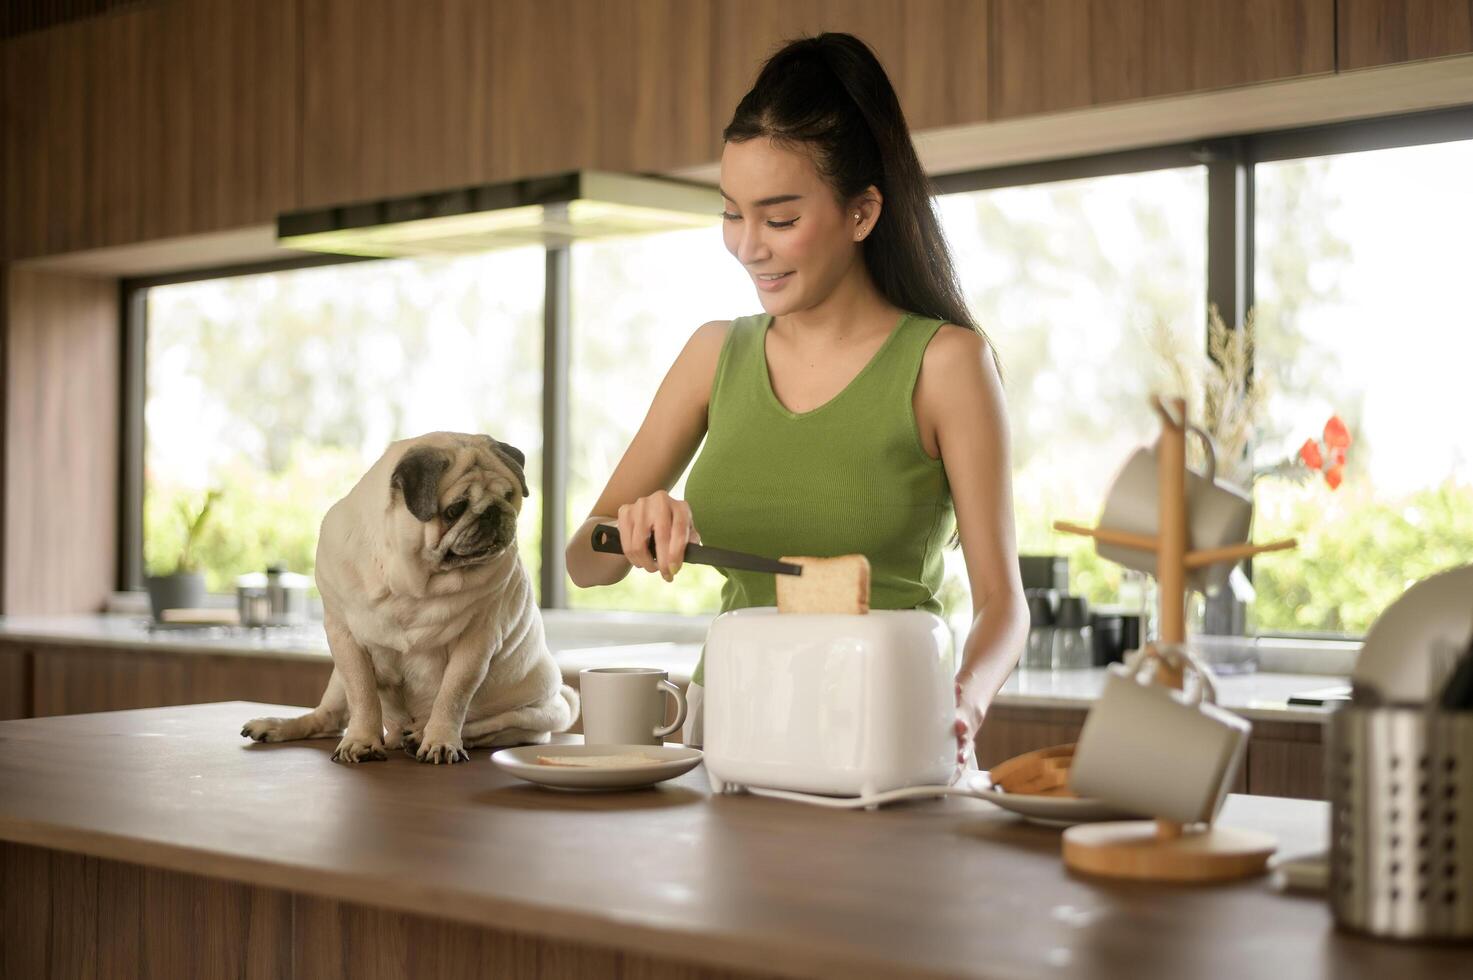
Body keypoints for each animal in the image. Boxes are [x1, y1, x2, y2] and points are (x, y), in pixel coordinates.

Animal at [238, 433, 577, 760]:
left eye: (509, 496)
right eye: (454, 510)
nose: (494, 512)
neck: (412, 580)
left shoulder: (475, 644)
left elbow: (452, 698)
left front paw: (440, 741)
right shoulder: (344, 637)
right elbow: (363, 696)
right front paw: (361, 740)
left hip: (532, 716)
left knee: (482, 726)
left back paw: (421, 736)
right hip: (336, 678)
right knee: (329, 717)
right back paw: (278, 725)